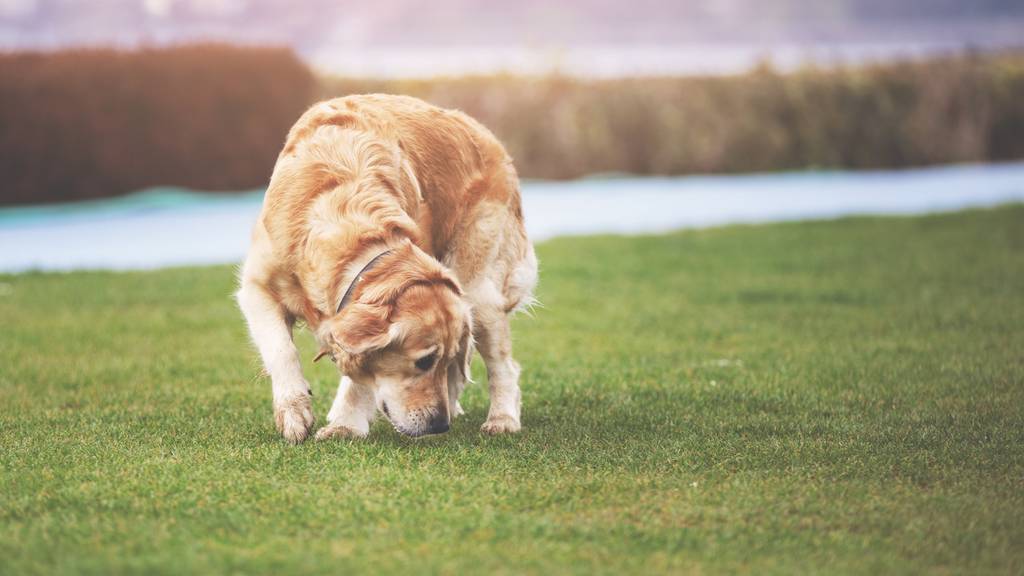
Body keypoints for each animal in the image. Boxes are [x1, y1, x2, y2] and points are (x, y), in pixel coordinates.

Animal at [233, 94, 536, 438]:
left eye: (435, 361)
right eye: (425, 361)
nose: (440, 425)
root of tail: (493, 140)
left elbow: (360, 377)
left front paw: (346, 425)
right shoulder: (257, 286)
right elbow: (281, 349)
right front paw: (294, 408)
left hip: (477, 291)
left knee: (503, 366)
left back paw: (502, 419)